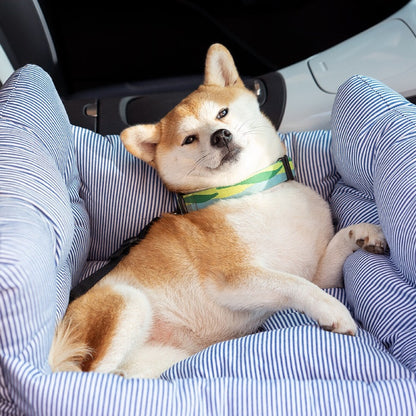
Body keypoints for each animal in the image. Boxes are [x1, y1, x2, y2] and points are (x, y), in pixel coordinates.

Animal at [49, 44, 386, 378]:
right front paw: (331, 308)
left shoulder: (318, 272)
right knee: (86, 377)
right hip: (128, 304)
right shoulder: (233, 278)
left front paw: (362, 234)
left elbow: (329, 257)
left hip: (161, 358)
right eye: (189, 139)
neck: (253, 190)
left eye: (222, 113)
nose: (220, 135)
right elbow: (295, 284)